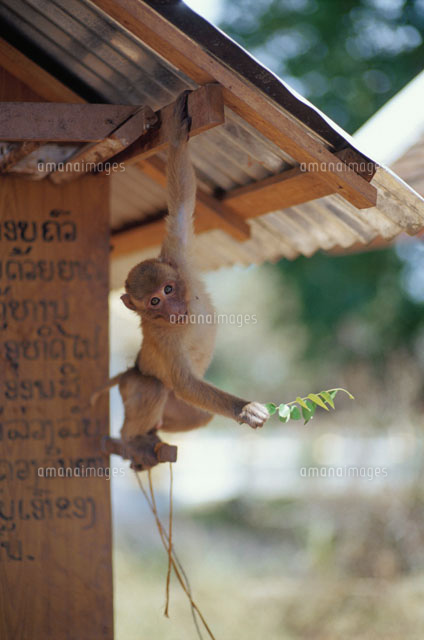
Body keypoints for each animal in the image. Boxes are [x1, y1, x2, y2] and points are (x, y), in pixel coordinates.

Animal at [95, 91, 268, 464]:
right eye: (154, 301)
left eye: (169, 288)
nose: (173, 309)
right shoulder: (163, 338)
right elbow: (184, 381)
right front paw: (244, 408)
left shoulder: (178, 256)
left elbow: (180, 206)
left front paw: (175, 133)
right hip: (132, 385)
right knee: (153, 385)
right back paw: (131, 439)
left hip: (180, 410)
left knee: (198, 414)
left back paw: (153, 434)